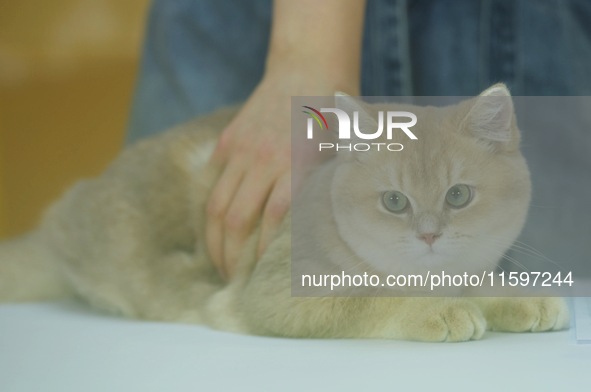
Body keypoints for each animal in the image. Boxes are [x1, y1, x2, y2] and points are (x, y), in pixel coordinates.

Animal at [1, 84, 572, 342]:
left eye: (458, 196)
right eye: (394, 201)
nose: (429, 236)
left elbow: (482, 283)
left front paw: (521, 299)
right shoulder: (282, 295)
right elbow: (375, 301)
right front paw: (438, 311)